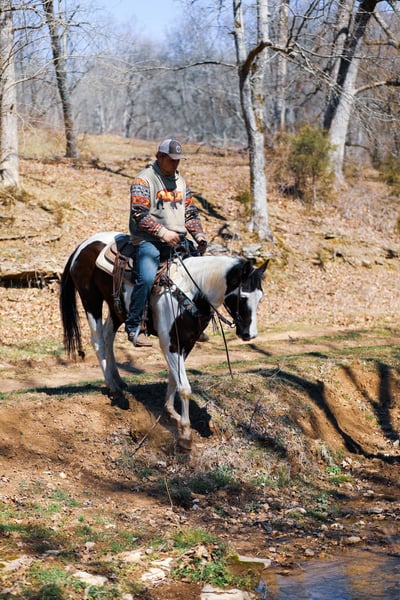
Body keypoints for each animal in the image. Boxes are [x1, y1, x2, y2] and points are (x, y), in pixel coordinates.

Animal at [59, 231, 268, 450]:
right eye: (243, 297)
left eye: (260, 297)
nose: (250, 335)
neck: (191, 291)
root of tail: (83, 245)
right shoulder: (170, 343)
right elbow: (184, 387)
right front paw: (185, 434)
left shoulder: (187, 343)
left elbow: (174, 378)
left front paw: (171, 411)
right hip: (90, 300)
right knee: (98, 340)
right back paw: (114, 389)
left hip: (117, 307)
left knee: (108, 335)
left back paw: (118, 379)